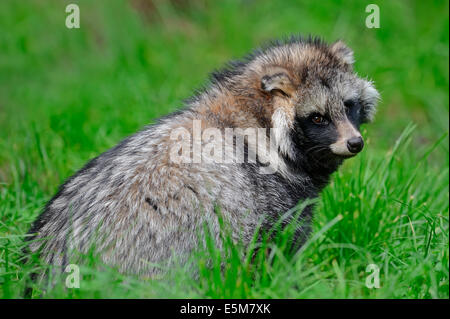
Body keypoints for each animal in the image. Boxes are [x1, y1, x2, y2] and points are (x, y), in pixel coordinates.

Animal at [27, 37, 380, 278]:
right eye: (318, 118)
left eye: (348, 106)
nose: (355, 143)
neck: (252, 121)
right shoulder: (270, 201)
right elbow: (277, 253)